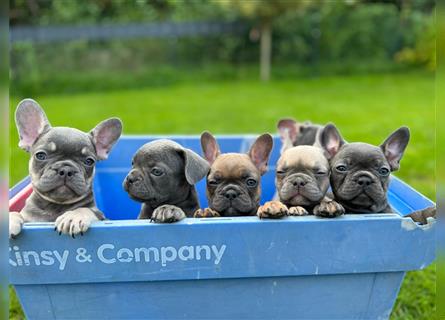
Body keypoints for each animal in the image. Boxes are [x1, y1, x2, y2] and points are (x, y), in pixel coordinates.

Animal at [9, 99, 123, 238]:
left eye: (89, 161)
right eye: (40, 155)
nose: (66, 170)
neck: (55, 205)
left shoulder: (102, 217)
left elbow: (85, 209)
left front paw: (73, 217)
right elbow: (15, 213)